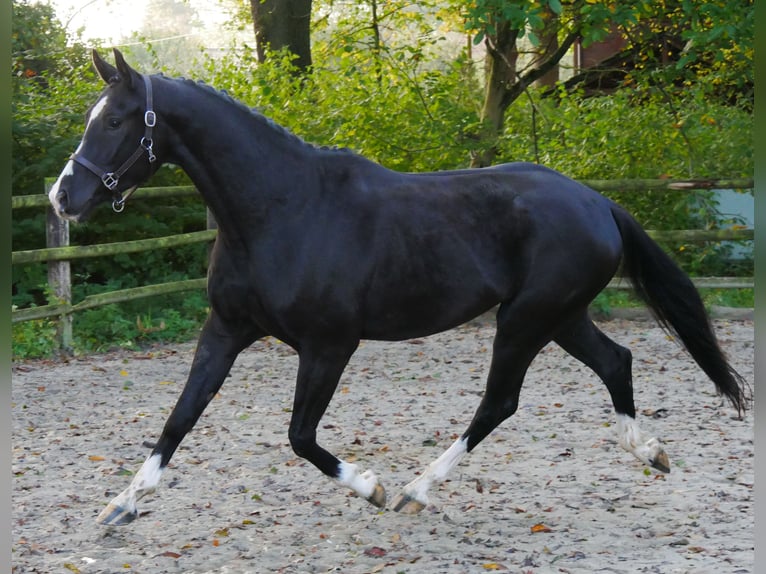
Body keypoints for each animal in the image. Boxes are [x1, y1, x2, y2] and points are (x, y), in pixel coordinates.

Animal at [49, 49, 752, 528]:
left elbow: (300, 437)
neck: (281, 209)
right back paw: (651, 452)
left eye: (115, 120)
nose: (63, 197)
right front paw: (121, 505)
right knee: (616, 362)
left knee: (500, 402)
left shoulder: (330, 345)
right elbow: (180, 416)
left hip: (525, 321)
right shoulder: (225, 329)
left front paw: (373, 487)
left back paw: (416, 490)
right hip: (560, 316)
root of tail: (596, 202)